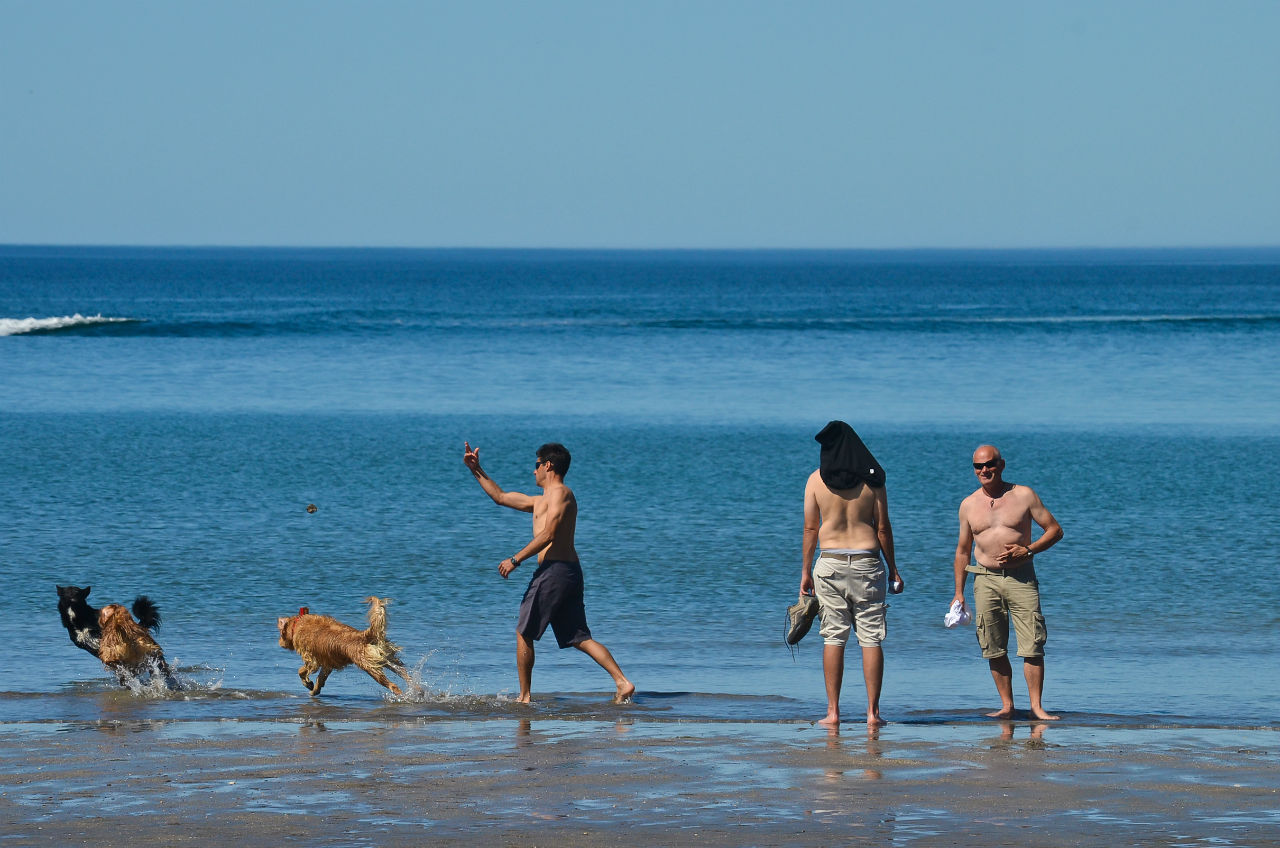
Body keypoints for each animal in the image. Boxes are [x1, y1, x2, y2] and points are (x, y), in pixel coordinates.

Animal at [279, 596, 409, 696]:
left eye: (281, 633)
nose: (279, 643)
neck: (299, 623)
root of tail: (365, 635)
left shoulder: (312, 659)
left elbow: (301, 671)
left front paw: (308, 684)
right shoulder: (327, 663)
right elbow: (320, 678)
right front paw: (314, 690)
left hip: (370, 667)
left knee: (393, 685)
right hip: (387, 659)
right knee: (406, 674)